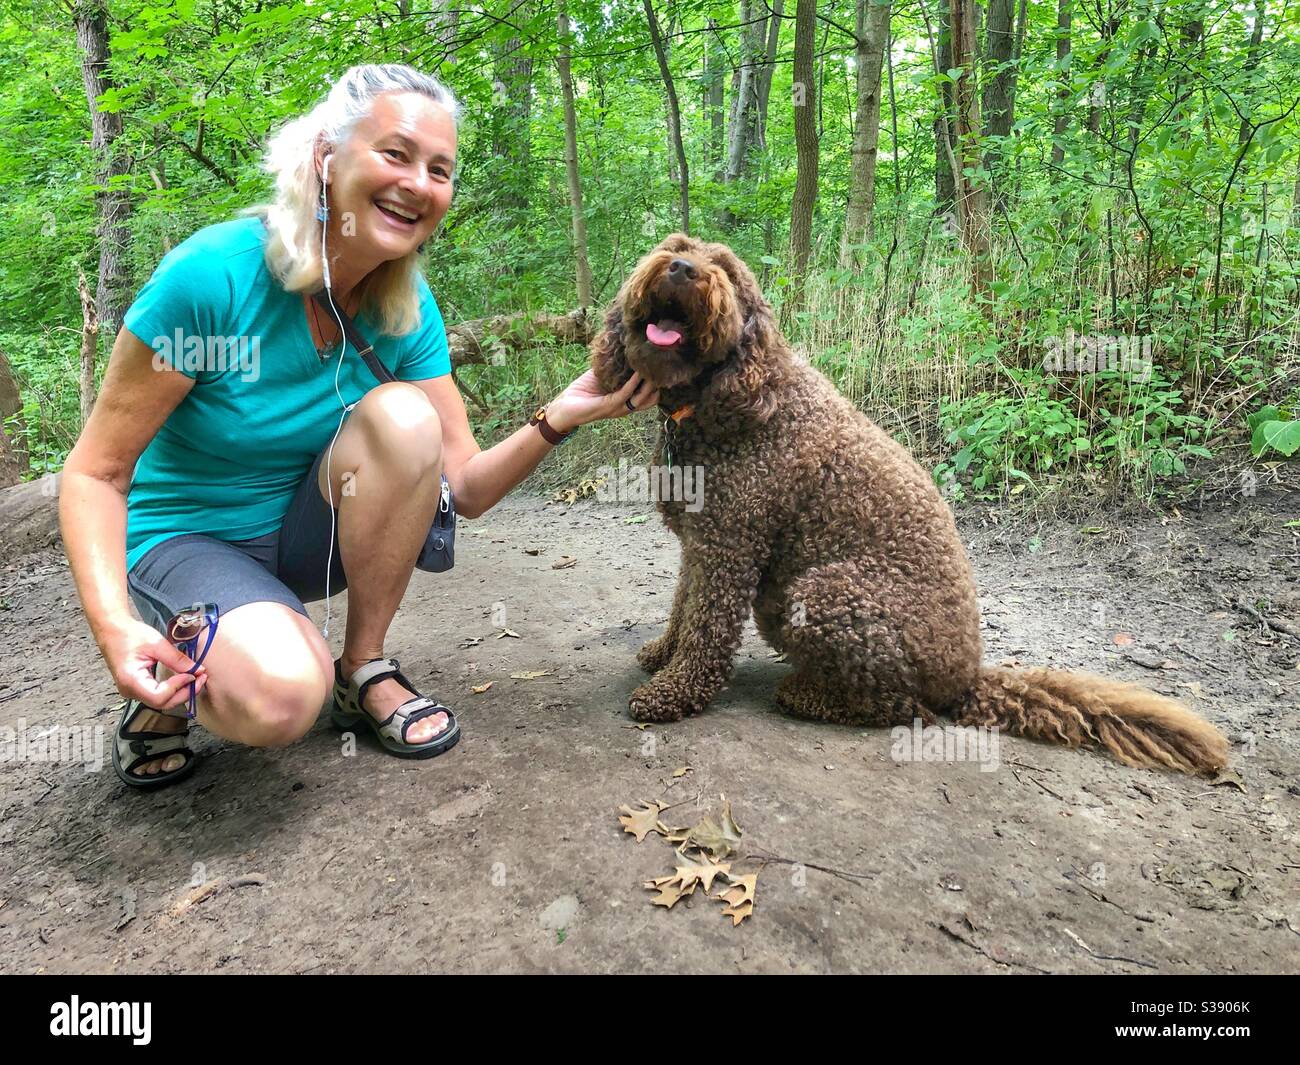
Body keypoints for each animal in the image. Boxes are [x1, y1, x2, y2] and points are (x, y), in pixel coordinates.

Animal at [592, 235, 1227, 775]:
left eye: (724, 268)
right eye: (676, 246)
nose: (682, 268)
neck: (727, 401)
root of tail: (967, 678)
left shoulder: (730, 545)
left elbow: (706, 628)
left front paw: (672, 692)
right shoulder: (700, 543)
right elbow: (683, 606)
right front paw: (662, 653)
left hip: (825, 593)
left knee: (903, 709)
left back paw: (805, 695)